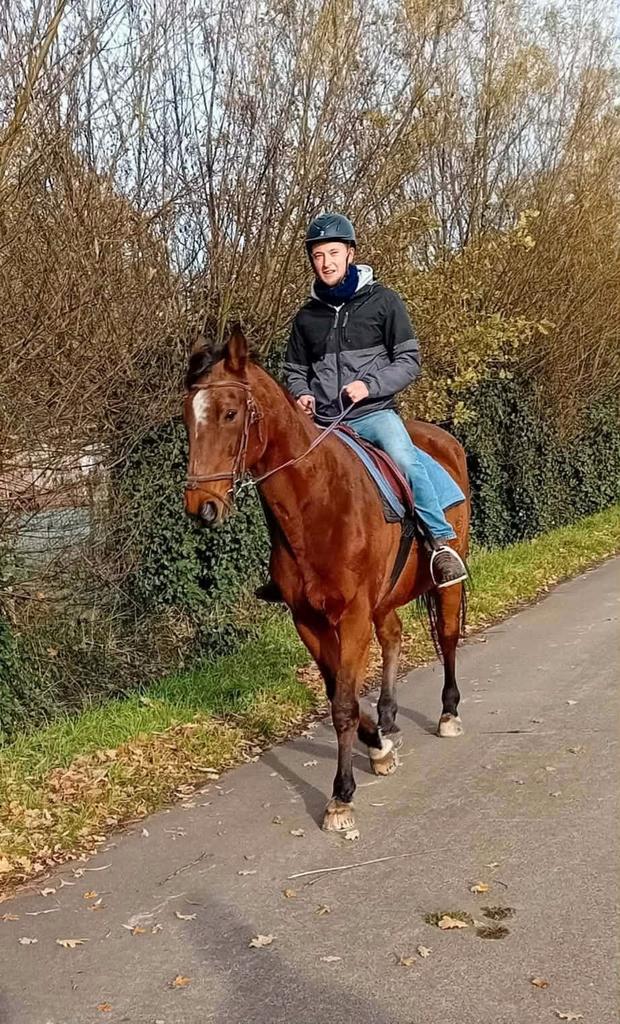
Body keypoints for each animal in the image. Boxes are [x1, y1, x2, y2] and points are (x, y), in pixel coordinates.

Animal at [183, 327, 470, 832]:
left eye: (230, 413)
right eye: (185, 417)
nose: (202, 507)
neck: (316, 502)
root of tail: (442, 440)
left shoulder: (352, 614)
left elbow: (343, 704)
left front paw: (341, 795)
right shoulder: (308, 620)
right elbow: (339, 691)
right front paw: (378, 745)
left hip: (445, 584)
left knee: (449, 637)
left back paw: (448, 712)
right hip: (384, 600)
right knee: (394, 636)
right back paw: (389, 717)